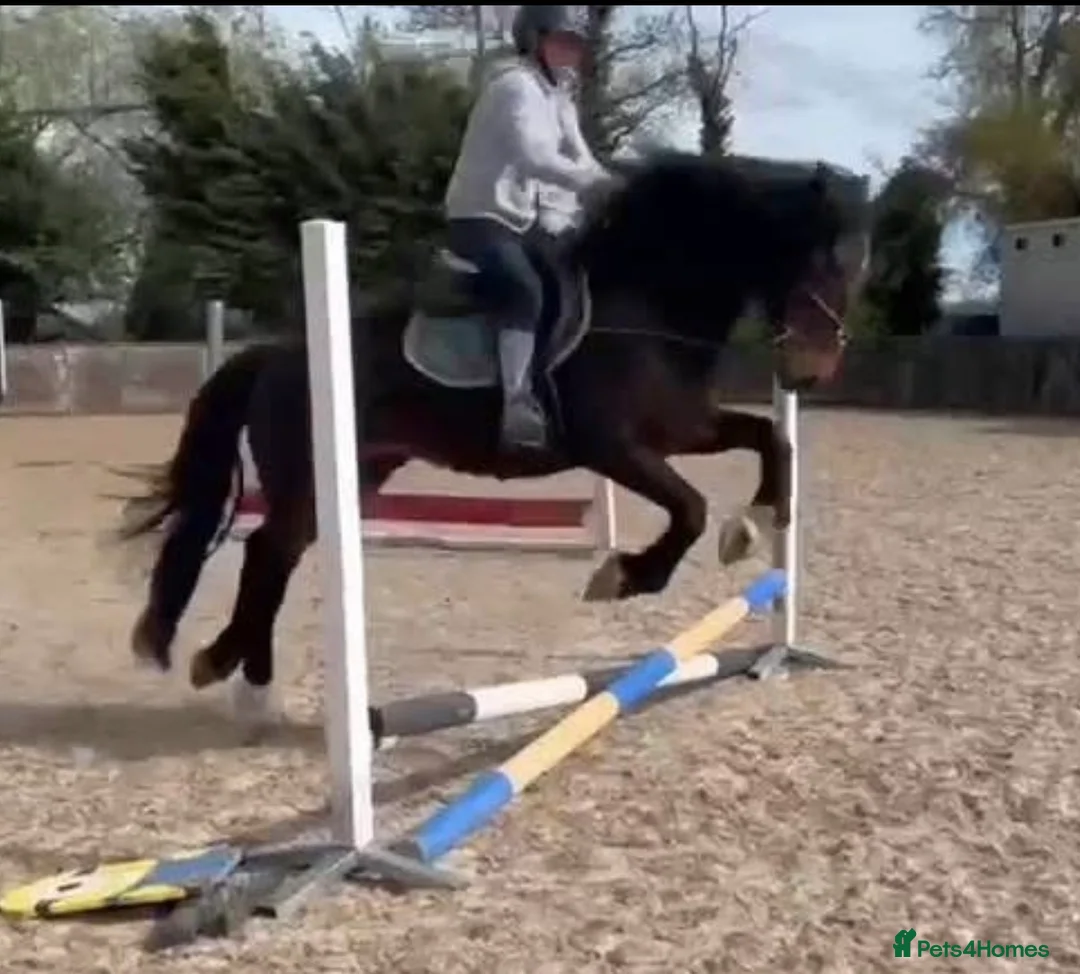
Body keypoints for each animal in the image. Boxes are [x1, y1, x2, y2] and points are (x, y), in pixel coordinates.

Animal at [119, 152, 866, 725]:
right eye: (820, 262)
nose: (811, 372)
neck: (649, 307)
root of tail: (275, 353)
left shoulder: (683, 428)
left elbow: (770, 440)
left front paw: (757, 522)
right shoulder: (616, 447)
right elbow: (690, 508)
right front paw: (624, 576)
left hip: (356, 475)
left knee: (275, 555)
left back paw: (241, 679)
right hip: (308, 476)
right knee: (269, 554)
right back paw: (232, 673)